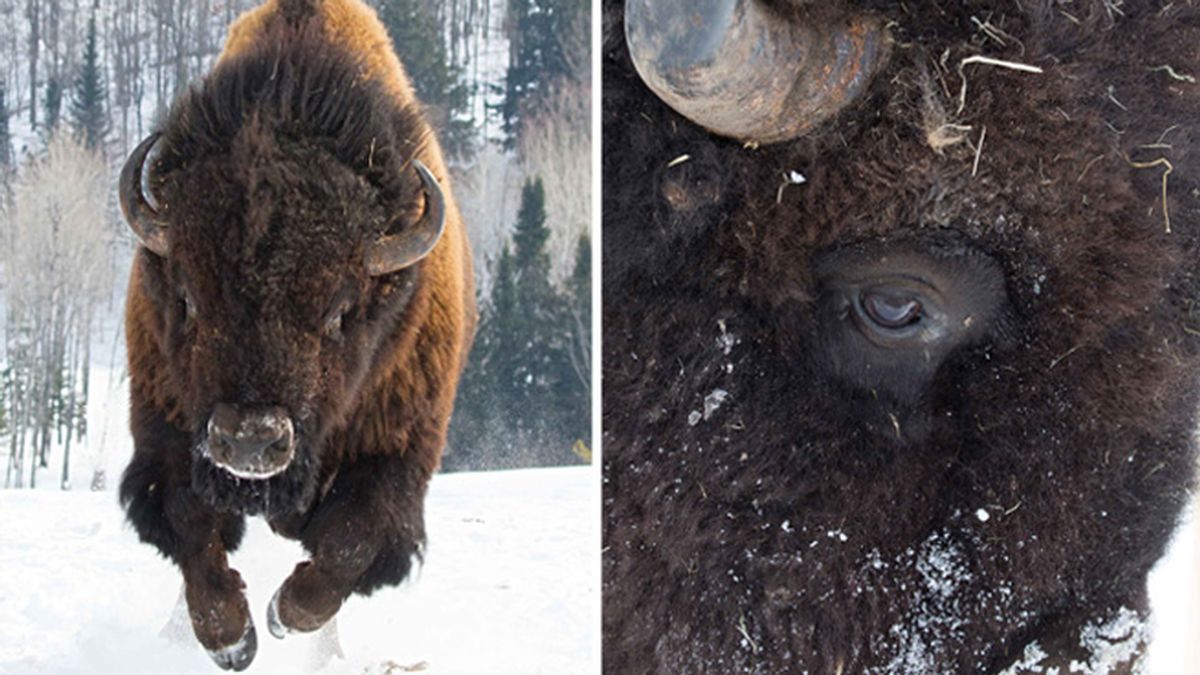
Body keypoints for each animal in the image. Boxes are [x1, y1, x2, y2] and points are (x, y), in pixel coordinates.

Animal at [117, 0, 470, 662]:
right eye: (188, 298)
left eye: (339, 311)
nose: (249, 440)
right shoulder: (166, 428)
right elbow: (189, 525)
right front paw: (231, 640)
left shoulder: (399, 449)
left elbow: (354, 539)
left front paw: (285, 615)